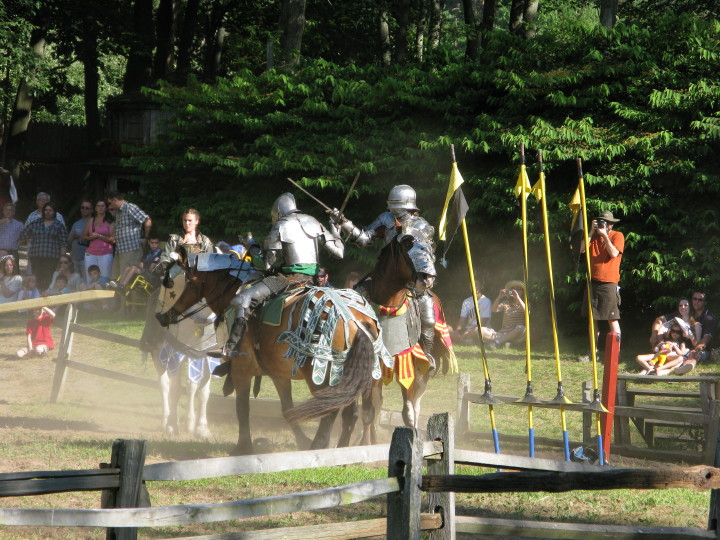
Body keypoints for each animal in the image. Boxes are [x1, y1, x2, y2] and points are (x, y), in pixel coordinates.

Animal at [155, 255, 386, 454]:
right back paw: (341, 449)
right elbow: (287, 409)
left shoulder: (241, 370)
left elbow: (243, 408)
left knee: (331, 411)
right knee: (353, 413)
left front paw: (243, 446)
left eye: (186, 285)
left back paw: (319, 446)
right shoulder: (277, 374)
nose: (163, 316)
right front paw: (301, 440)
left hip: (322, 376)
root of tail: (354, 320)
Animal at [366, 238, 456, 428]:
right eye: (406, 245)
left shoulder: (407, 364)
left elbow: (408, 412)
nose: (428, 278)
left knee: (416, 403)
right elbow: (371, 410)